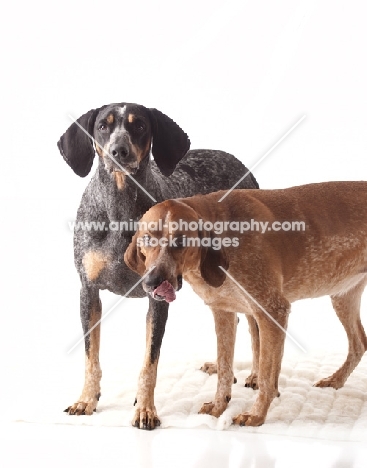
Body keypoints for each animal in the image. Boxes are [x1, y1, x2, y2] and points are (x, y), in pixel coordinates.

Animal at [57, 101, 258, 428]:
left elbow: (149, 363)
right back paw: (221, 366)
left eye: (139, 126)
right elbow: (91, 357)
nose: (119, 151)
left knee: (255, 323)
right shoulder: (88, 292)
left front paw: (145, 409)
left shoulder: (159, 297)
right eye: (102, 126)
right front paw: (86, 399)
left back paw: (255, 374)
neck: (120, 209)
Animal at [126, 182, 367, 428]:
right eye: (147, 239)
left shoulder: (273, 310)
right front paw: (219, 406)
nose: (152, 281)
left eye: (181, 241)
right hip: (343, 298)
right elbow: (224, 368)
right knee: (359, 344)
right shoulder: (224, 313)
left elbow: (266, 376)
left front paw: (257, 415)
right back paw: (336, 380)